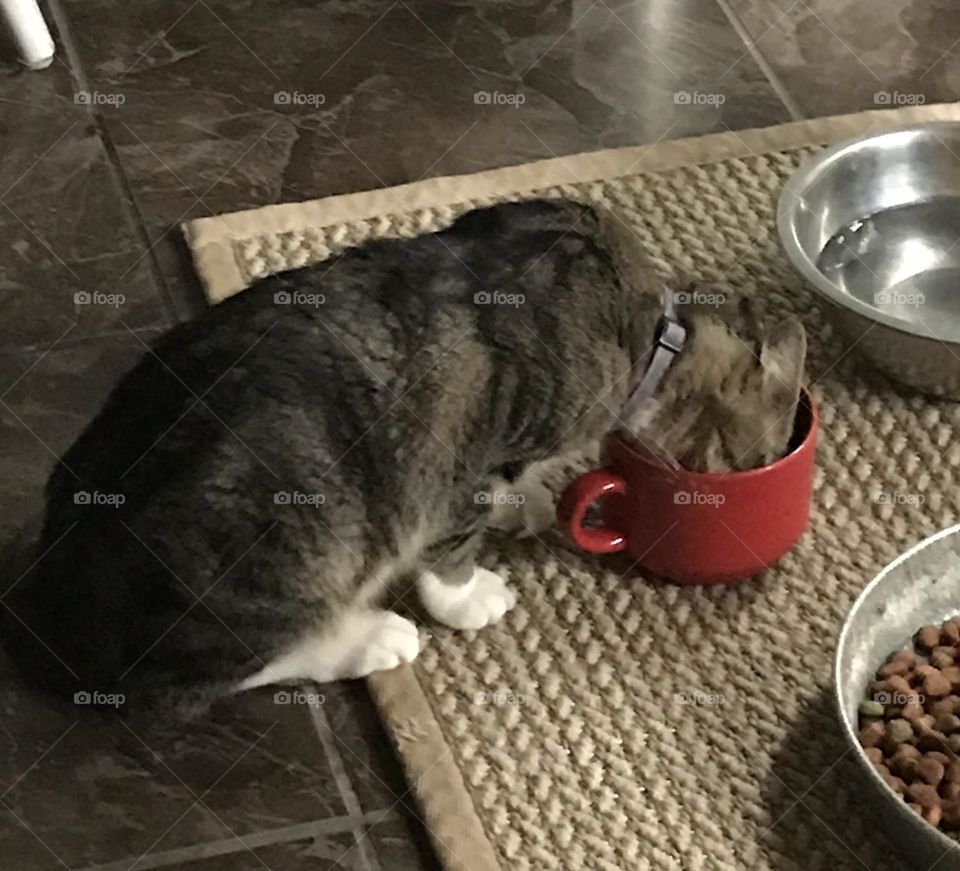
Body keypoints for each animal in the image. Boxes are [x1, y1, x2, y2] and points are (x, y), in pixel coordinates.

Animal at [1, 201, 804, 720]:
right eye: (762, 454)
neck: (653, 335)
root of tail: (52, 595)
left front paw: (524, 499)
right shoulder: (465, 452)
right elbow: (450, 543)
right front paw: (469, 594)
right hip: (295, 551)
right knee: (191, 683)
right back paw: (367, 638)